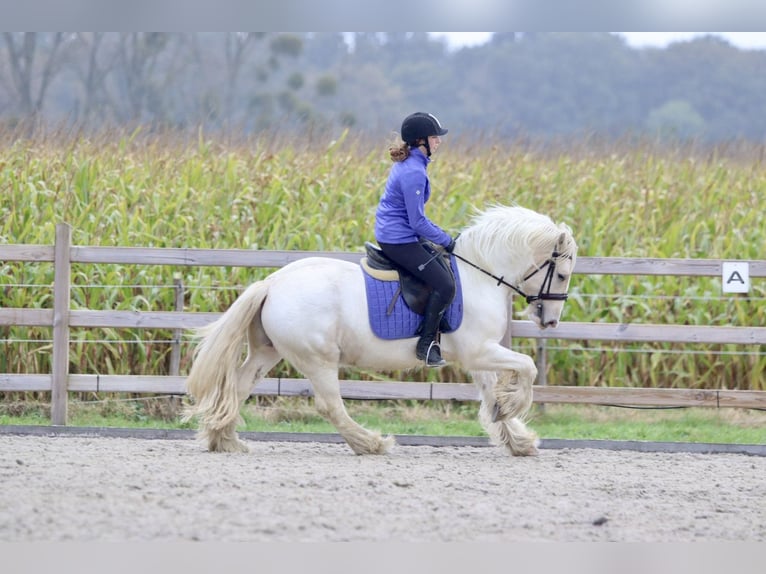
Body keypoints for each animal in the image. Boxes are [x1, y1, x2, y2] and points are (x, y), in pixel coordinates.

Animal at [184, 207, 576, 460]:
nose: (550, 322)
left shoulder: (480, 356)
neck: (478, 275)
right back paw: (371, 444)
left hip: (268, 351)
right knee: (330, 405)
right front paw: (513, 407)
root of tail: (271, 283)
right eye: (561, 274)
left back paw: (224, 440)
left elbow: (492, 393)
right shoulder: (479, 350)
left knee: (238, 386)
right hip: (317, 358)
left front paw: (516, 437)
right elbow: (527, 366)